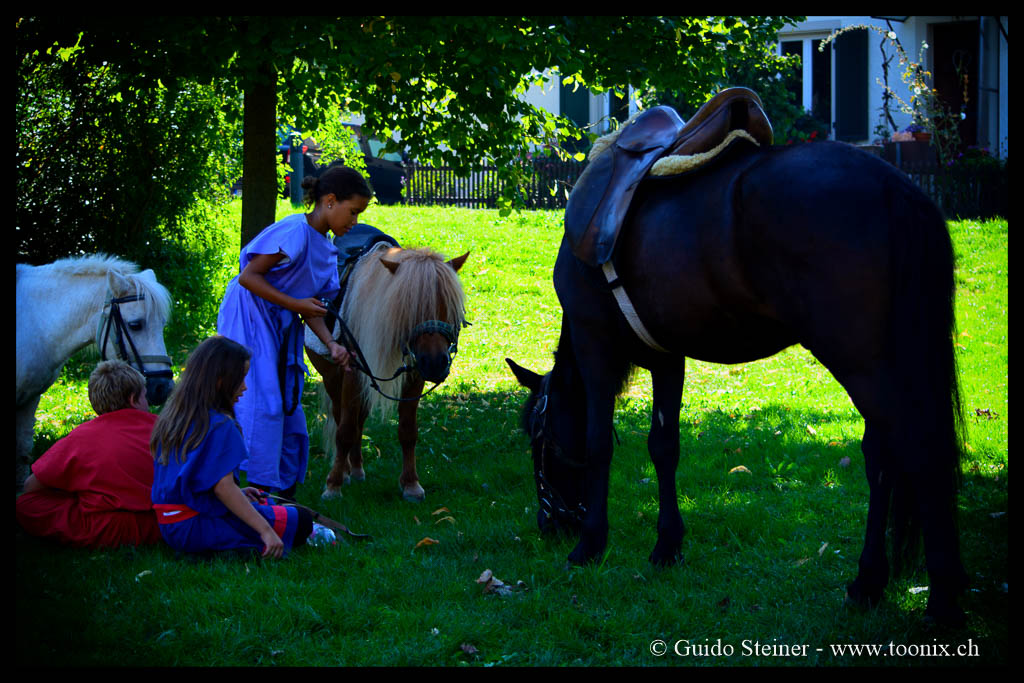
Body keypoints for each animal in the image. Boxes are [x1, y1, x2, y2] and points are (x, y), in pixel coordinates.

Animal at [16, 254, 174, 485]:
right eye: (135, 325)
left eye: (162, 325)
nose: (164, 387)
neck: (36, 322)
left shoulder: (29, 399)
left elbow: (23, 453)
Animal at [509, 102, 966, 626]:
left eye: (537, 438)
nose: (550, 524)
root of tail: (896, 187)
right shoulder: (667, 358)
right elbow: (664, 447)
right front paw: (667, 546)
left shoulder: (594, 344)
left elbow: (598, 443)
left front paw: (590, 545)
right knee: (884, 456)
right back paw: (869, 583)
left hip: (863, 363)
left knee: (917, 453)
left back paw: (939, 602)